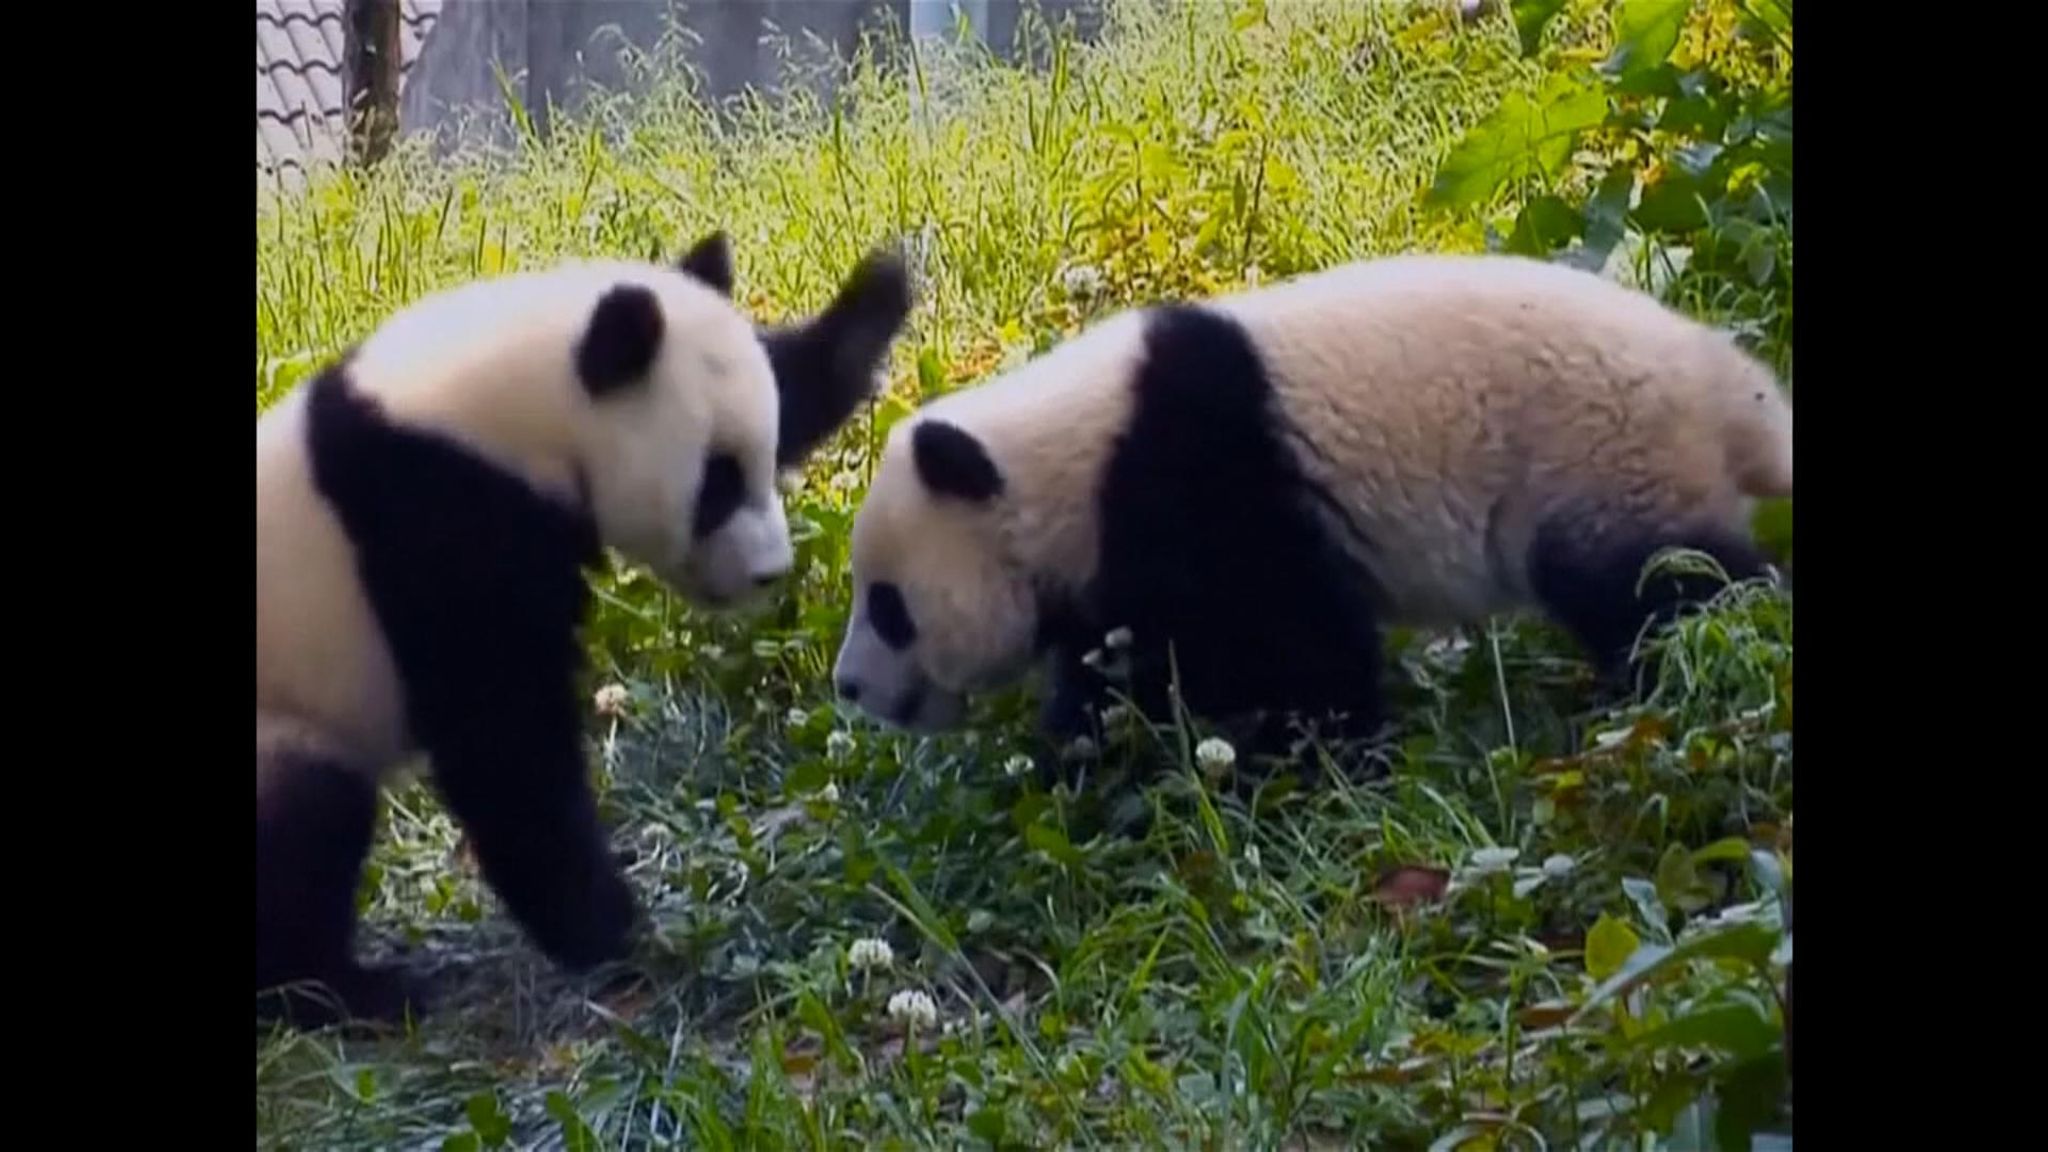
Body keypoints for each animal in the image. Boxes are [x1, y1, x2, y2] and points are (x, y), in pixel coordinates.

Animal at [258, 230, 913, 1020]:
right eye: (717, 483)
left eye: (761, 456)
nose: (769, 571)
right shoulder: (438, 513)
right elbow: (504, 738)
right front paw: (611, 930)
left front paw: (878, 293)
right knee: (305, 827)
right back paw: (342, 988)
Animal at [831, 251, 1794, 770]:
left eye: (888, 606)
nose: (847, 687)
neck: (1059, 465)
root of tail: (1732, 386)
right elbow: (1117, 668)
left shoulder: (1202, 478)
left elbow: (1283, 646)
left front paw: (1304, 761)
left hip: (1596, 457)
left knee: (1662, 586)